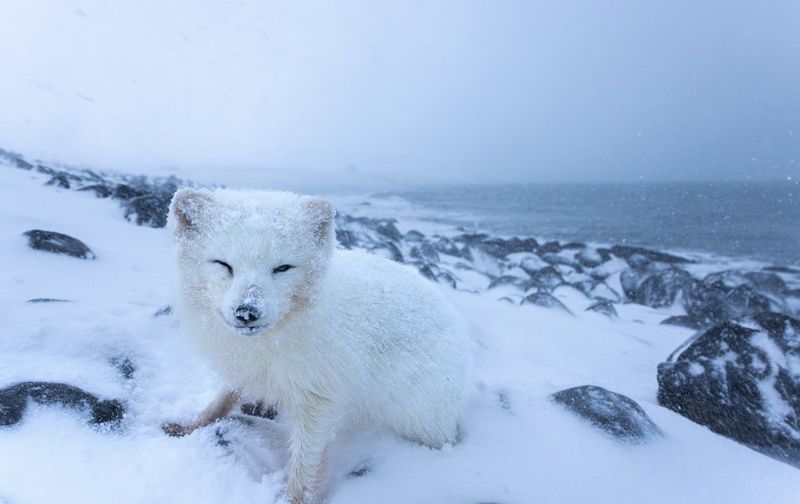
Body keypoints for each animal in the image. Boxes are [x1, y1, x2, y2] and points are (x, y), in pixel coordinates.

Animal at [164, 188, 470, 504]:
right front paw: (192, 424)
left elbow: (305, 459)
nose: (247, 312)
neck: (273, 338)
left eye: (282, 268)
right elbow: (223, 397)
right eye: (223, 265)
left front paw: (295, 498)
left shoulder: (319, 397)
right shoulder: (247, 368)